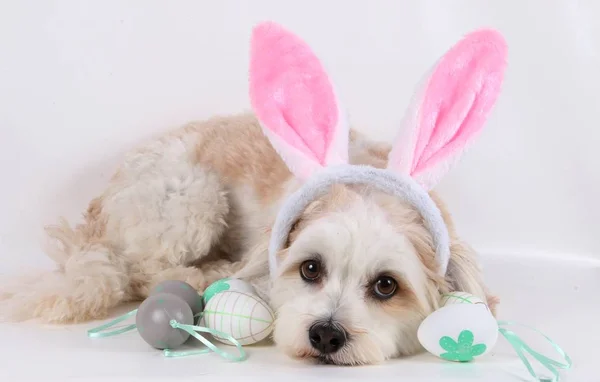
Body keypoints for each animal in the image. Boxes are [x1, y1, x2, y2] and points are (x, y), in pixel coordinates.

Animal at [0, 21, 506, 368]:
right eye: (310, 268)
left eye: (386, 286)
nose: (326, 336)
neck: (369, 183)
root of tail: (98, 214)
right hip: (191, 197)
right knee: (144, 270)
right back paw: (206, 271)